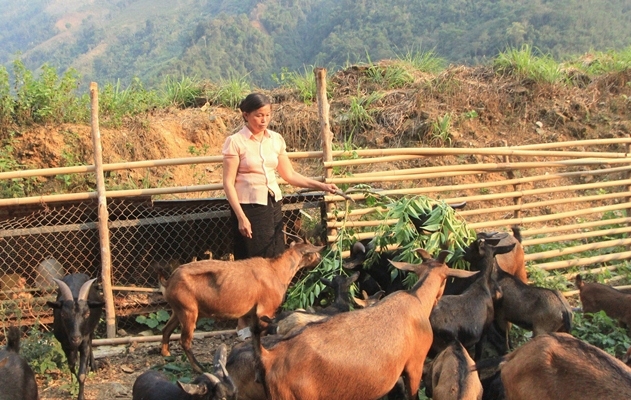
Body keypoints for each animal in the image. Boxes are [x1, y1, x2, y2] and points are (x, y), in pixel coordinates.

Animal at [160, 241, 324, 376]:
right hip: (189, 312)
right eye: (315, 252)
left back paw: (166, 353)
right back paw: (199, 368)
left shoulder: (255, 313)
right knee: (185, 341)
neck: (276, 271)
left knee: (166, 329)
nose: (321, 260)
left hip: (178, 310)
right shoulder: (266, 309)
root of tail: (169, 282)